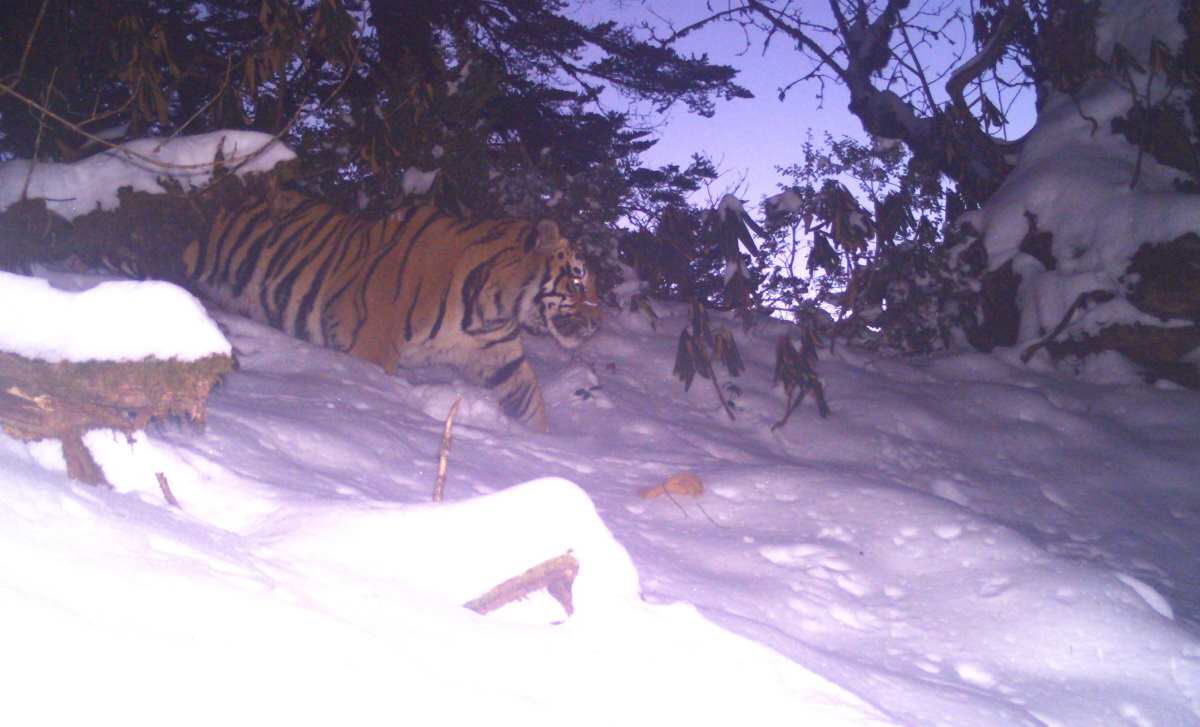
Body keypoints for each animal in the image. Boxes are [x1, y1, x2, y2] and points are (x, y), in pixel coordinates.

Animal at [177, 194, 600, 431]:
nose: (598, 324)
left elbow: (530, 405)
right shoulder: (373, 345)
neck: (491, 306)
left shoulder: (499, 358)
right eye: (578, 278)